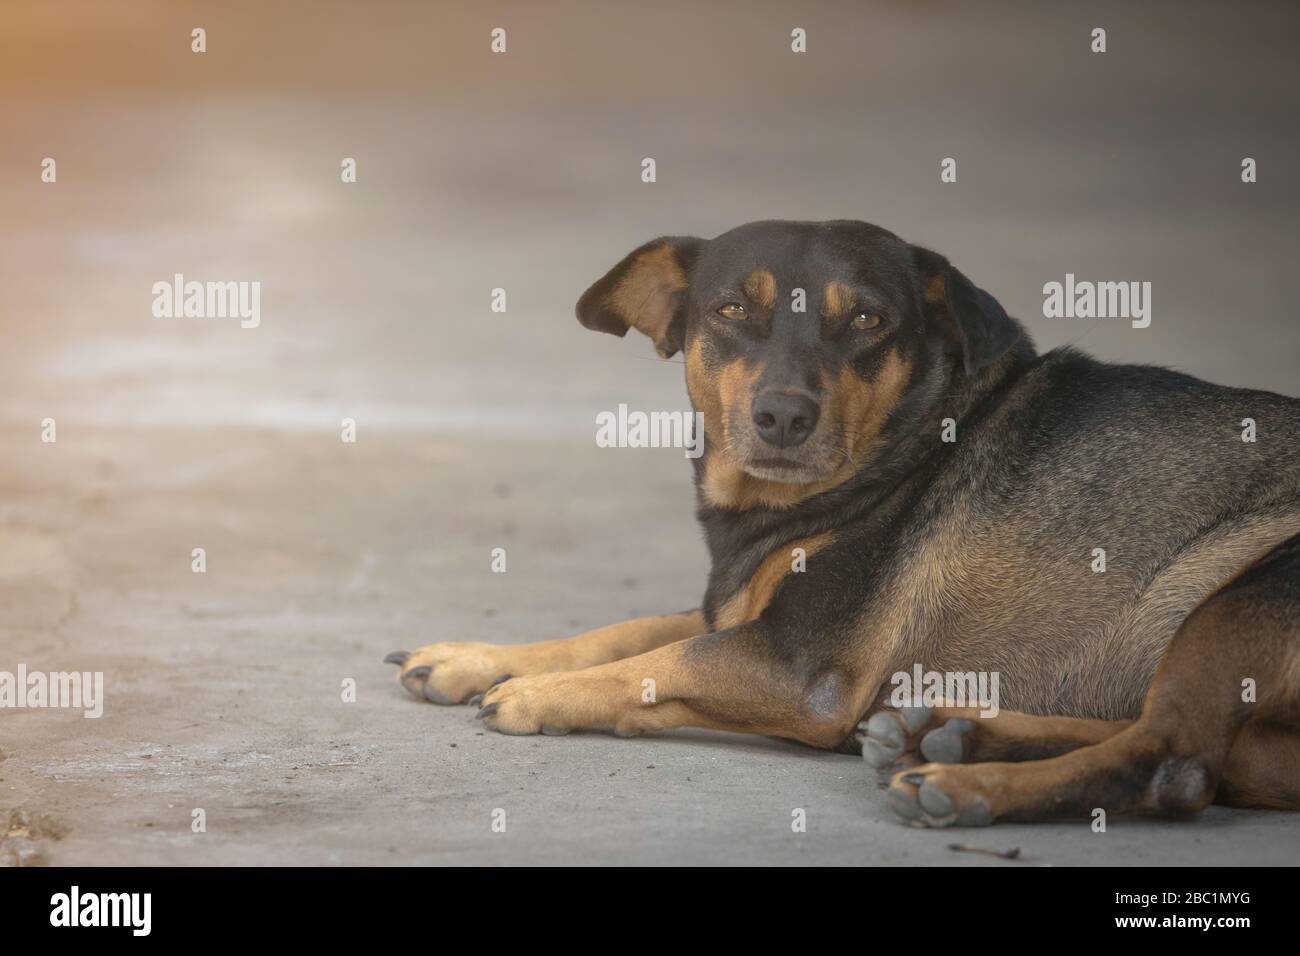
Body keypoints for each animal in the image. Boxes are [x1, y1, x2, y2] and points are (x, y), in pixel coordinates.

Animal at [382, 221, 1300, 827]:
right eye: (730, 310)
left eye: (866, 319)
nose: (784, 416)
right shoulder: (744, 614)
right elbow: (629, 630)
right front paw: (476, 658)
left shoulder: (799, 666)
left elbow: (659, 658)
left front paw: (534, 693)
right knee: (1201, 753)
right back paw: (954, 735)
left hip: (1245, 589)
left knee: (1174, 759)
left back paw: (967, 787)